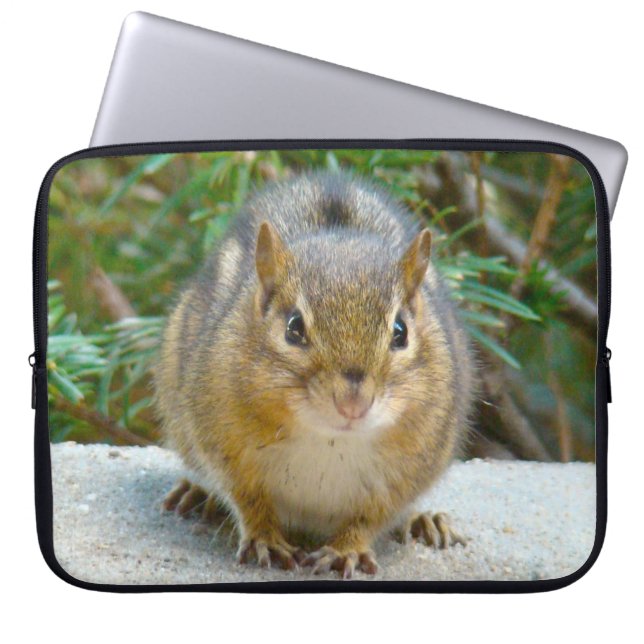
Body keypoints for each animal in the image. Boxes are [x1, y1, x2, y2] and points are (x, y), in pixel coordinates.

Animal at [155, 170, 476, 578]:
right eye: (294, 328)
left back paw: (424, 521)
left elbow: (371, 517)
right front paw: (265, 538)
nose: (353, 404)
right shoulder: (223, 443)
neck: (329, 440)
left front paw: (346, 549)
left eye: (401, 331)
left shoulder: (412, 467)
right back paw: (198, 494)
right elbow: (248, 499)